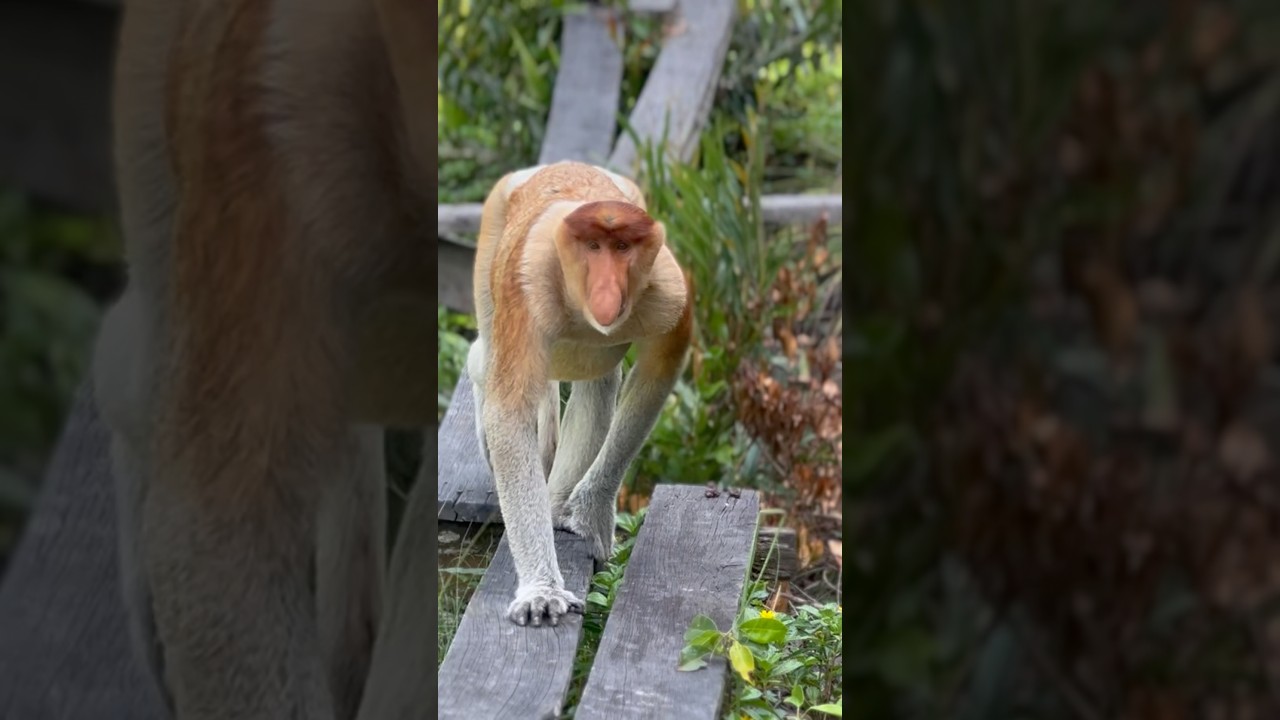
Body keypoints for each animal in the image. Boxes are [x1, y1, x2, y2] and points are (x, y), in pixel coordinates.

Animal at [470, 162, 693, 626]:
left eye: (622, 247)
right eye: (593, 247)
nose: (607, 289)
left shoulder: (668, 291)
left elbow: (660, 367)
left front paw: (586, 513)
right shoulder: (527, 290)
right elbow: (509, 411)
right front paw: (542, 593)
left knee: (600, 379)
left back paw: (556, 508)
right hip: (493, 235)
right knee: (485, 359)